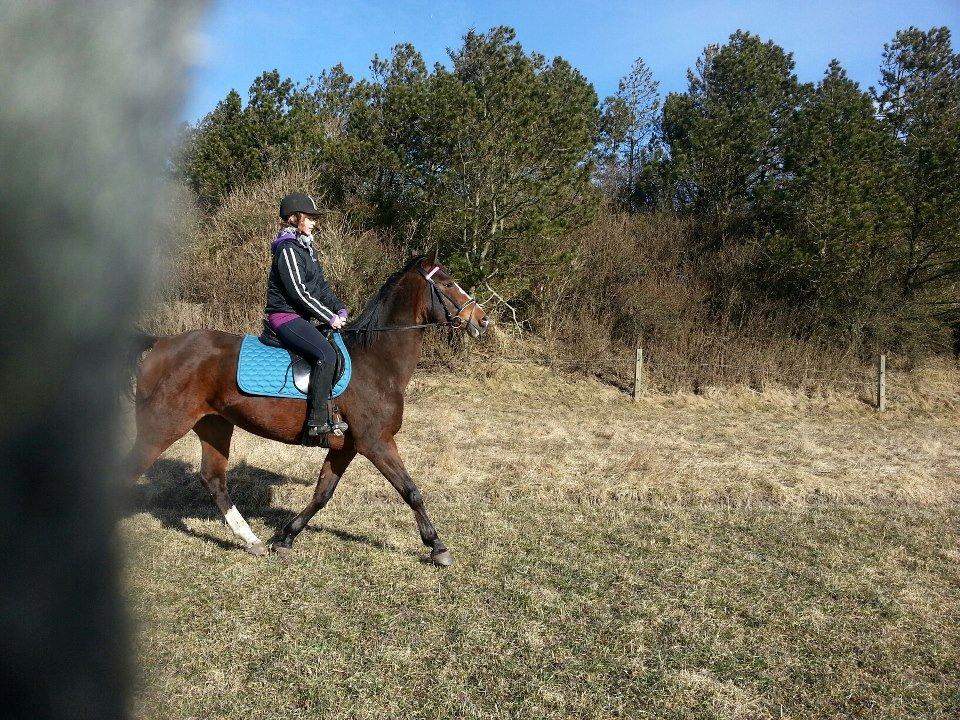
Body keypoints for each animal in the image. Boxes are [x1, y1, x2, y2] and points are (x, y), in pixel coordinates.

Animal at [127, 256, 488, 564]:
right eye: (447, 283)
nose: (481, 320)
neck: (377, 363)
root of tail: (162, 343)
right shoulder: (376, 443)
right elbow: (411, 491)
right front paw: (437, 546)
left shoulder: (347, 447)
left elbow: (321, 494)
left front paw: (286, 538)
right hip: (162, 427)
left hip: (214, 425)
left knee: (213, 479)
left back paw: (252, 541)